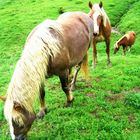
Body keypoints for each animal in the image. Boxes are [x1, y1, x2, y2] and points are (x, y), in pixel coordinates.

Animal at [0, 12, 94, 140]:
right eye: (8, 121)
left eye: (18, 121)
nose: (18, 139)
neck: (46, 49)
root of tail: (85, 16)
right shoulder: (40, 75)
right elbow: (42, 93)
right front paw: (42, 111)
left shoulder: (62, 71)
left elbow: (64, 88)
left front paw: (70, 101)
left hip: (83, 53)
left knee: (77, 69)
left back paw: (73, 85)